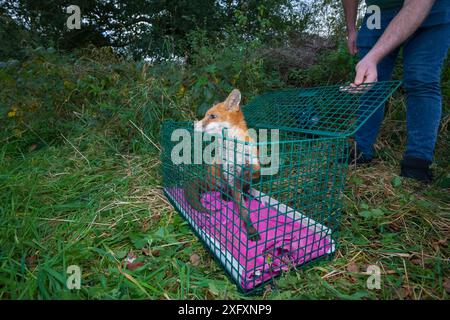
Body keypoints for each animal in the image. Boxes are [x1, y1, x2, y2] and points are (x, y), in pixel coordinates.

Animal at [184, 89, 262, 239]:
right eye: (205, 115)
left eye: (212, 116)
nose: (193, 125)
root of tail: (207, 178)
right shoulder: (229, 174)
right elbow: (243, 211)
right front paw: (251, 230)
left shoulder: (256, 165)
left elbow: (252, 171)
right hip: (216, 169)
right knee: (222, 189)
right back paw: (226, 196)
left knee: (244, 187)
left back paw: (247, 193)